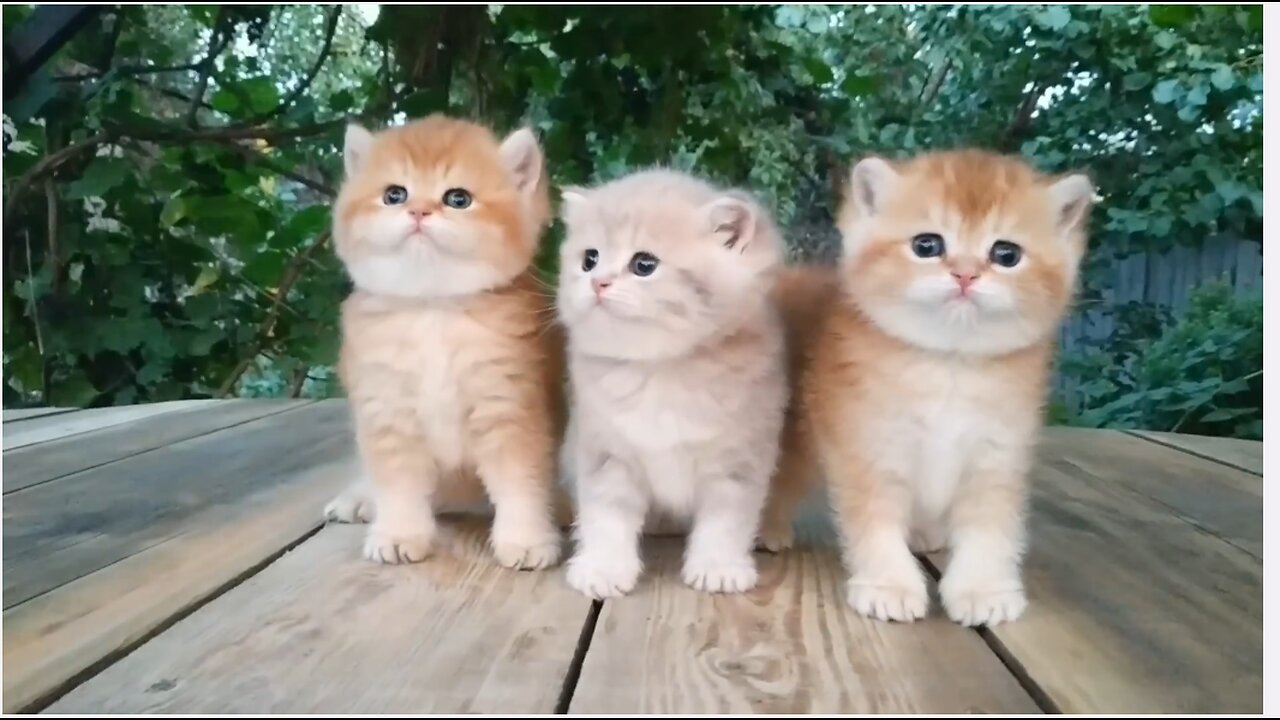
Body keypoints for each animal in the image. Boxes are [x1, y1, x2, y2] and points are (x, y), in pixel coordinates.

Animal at [327, 114, 568, 568]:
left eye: (458, 199)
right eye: (395, 194)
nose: (419, 210)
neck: (432, 309)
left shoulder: (509, 407)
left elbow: (520, 483)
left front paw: (526, 539)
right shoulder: (387, 410)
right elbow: (398, 485)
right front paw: (399, 533)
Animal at [560, 166, 788, 594]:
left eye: (644, 264)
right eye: (589, 259)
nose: (597, 282)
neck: (661, 371)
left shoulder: (739, 460)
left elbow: (726, 521)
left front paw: (718, 567)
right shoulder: (605, 453)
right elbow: (605, 517)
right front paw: (603, 568)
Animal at [798, 149, 1090, 622]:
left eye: (1006, 253)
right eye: (927, 245)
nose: (965, 275)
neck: (949, 363)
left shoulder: (997, 455)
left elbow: (990, 528)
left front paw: (983, 589)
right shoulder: (870, 446)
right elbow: (874, 521)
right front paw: (889, 583)